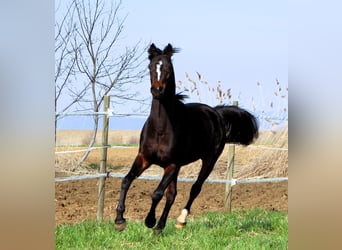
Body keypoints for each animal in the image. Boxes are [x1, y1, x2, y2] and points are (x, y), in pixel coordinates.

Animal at [113, 43, 258, 232]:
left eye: (168, 68)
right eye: (150, 67)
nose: (157, 90)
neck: (160, 129)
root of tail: (216, 114)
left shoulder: (172, 164)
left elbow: (157, 193)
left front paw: (149, 221)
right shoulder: (144, 157)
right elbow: (126, 180)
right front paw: (119, 220)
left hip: (209, 160)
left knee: (195, 188)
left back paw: (179, 220)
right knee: (172, 194)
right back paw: (160, 227)